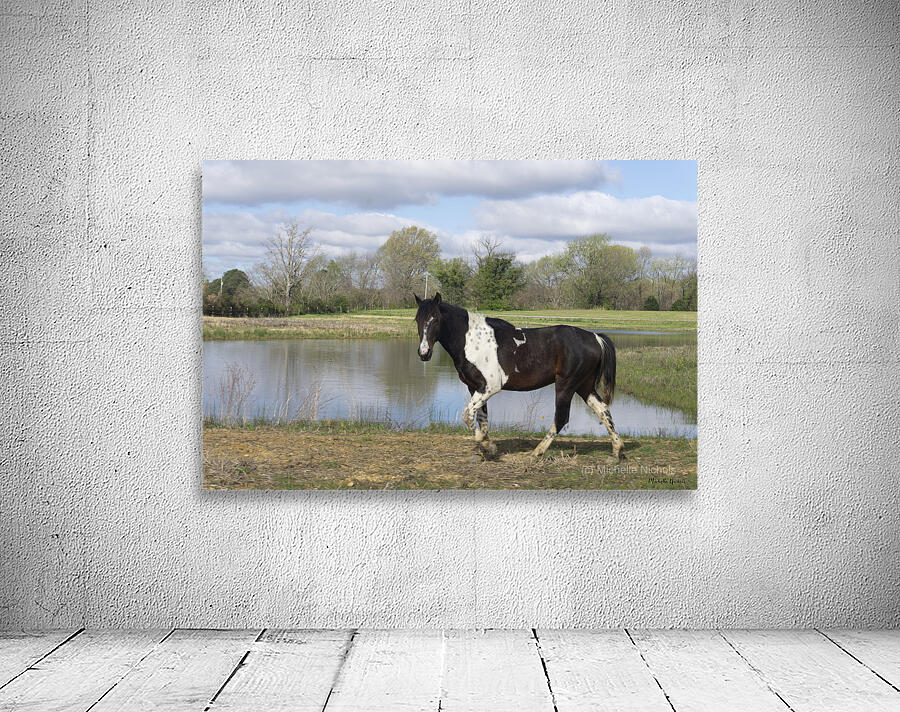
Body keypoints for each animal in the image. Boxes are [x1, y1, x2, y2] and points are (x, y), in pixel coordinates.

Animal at [413, 292, 625, 460]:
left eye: (435, 319)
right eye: (417, 319)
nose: (423, 353)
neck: (472, 341)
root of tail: (595, 337)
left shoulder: (489, 387)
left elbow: (467, 415)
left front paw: (486, 444)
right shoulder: (475, 387)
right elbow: (482, 419)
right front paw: (486, 448)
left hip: (566, 385)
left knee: (561, 418)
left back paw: (538, 452)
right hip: (584, 386)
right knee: (603, 410)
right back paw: (616, 451)